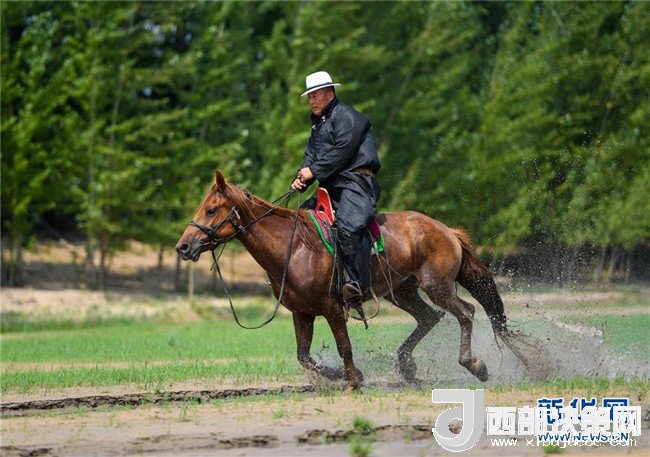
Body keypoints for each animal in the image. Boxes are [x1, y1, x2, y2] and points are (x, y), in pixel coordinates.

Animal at [176, 171, 530, 391]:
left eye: (211, 210)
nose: (183, 247)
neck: (294, 246)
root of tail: (446, 230)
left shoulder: (332, 307)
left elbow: (344, 346)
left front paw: (351, 382)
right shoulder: (302, 313)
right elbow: (305, 357)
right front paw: (349, 375)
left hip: (437, 286)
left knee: (465, 313)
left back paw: (473, 364)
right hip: (401, 292)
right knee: (430, 317)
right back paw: (407, 368)